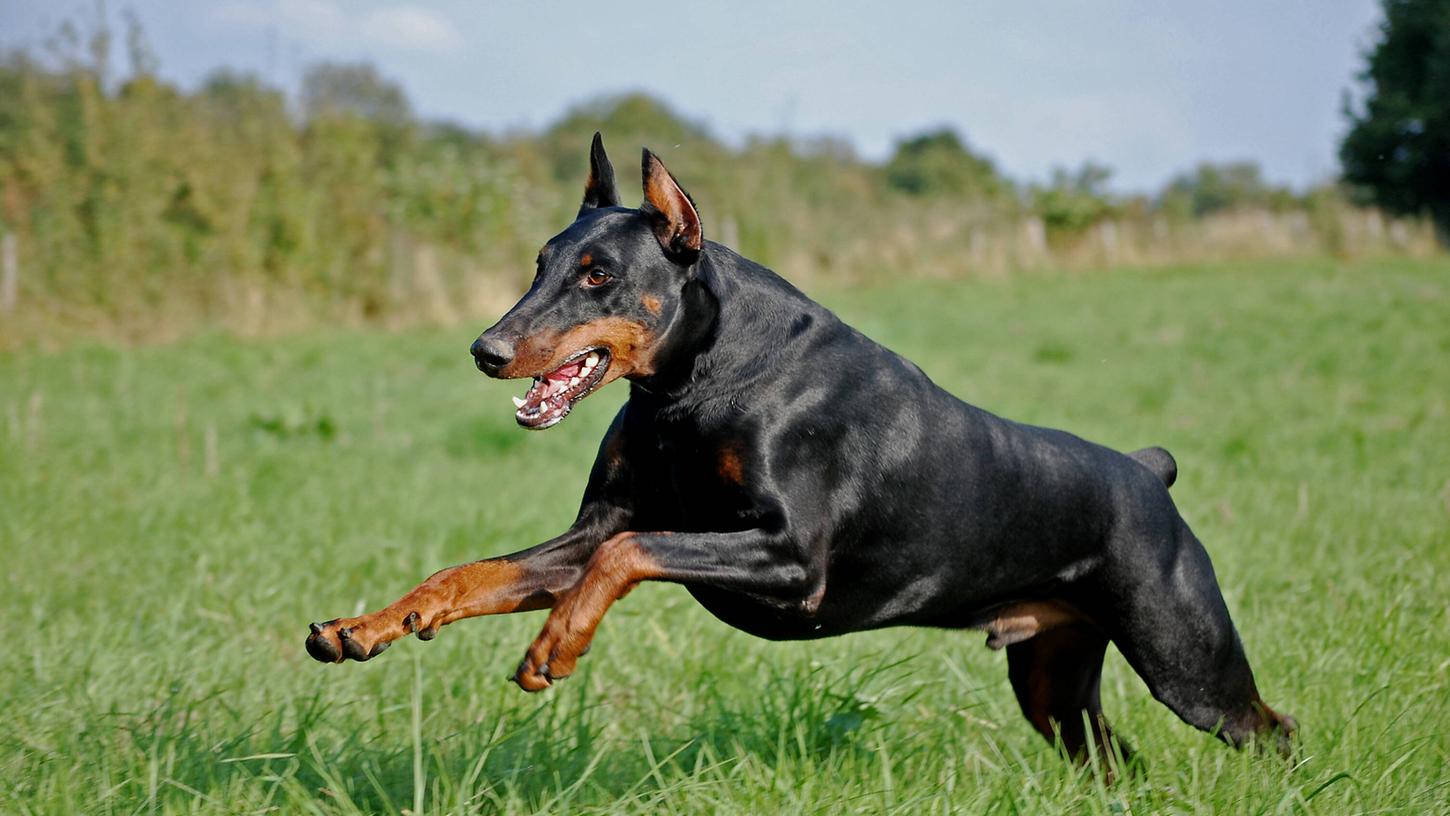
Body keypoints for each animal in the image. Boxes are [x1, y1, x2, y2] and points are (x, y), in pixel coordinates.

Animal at [303, 132, 1293, 765]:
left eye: (598, 275)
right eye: (539, 264)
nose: (486, 349)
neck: (694, 386)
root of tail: (1148, 472)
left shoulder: (790, 559)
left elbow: (627, 557)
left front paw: (555, 647)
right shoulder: (594, 529)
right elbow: (477, 572)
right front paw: (364, 628)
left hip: (1186, 658)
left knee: (1269, 728)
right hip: (1053, 677)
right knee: (1114, 759)